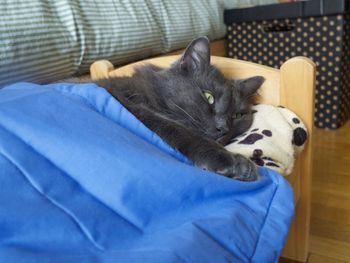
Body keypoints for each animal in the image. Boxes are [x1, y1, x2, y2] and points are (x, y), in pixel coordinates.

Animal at [97, 37, 264, 182]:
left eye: (237, 115)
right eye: (209, 97)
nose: (223, 128)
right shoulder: (127, 103)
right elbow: (178, 130)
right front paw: (236, 164)